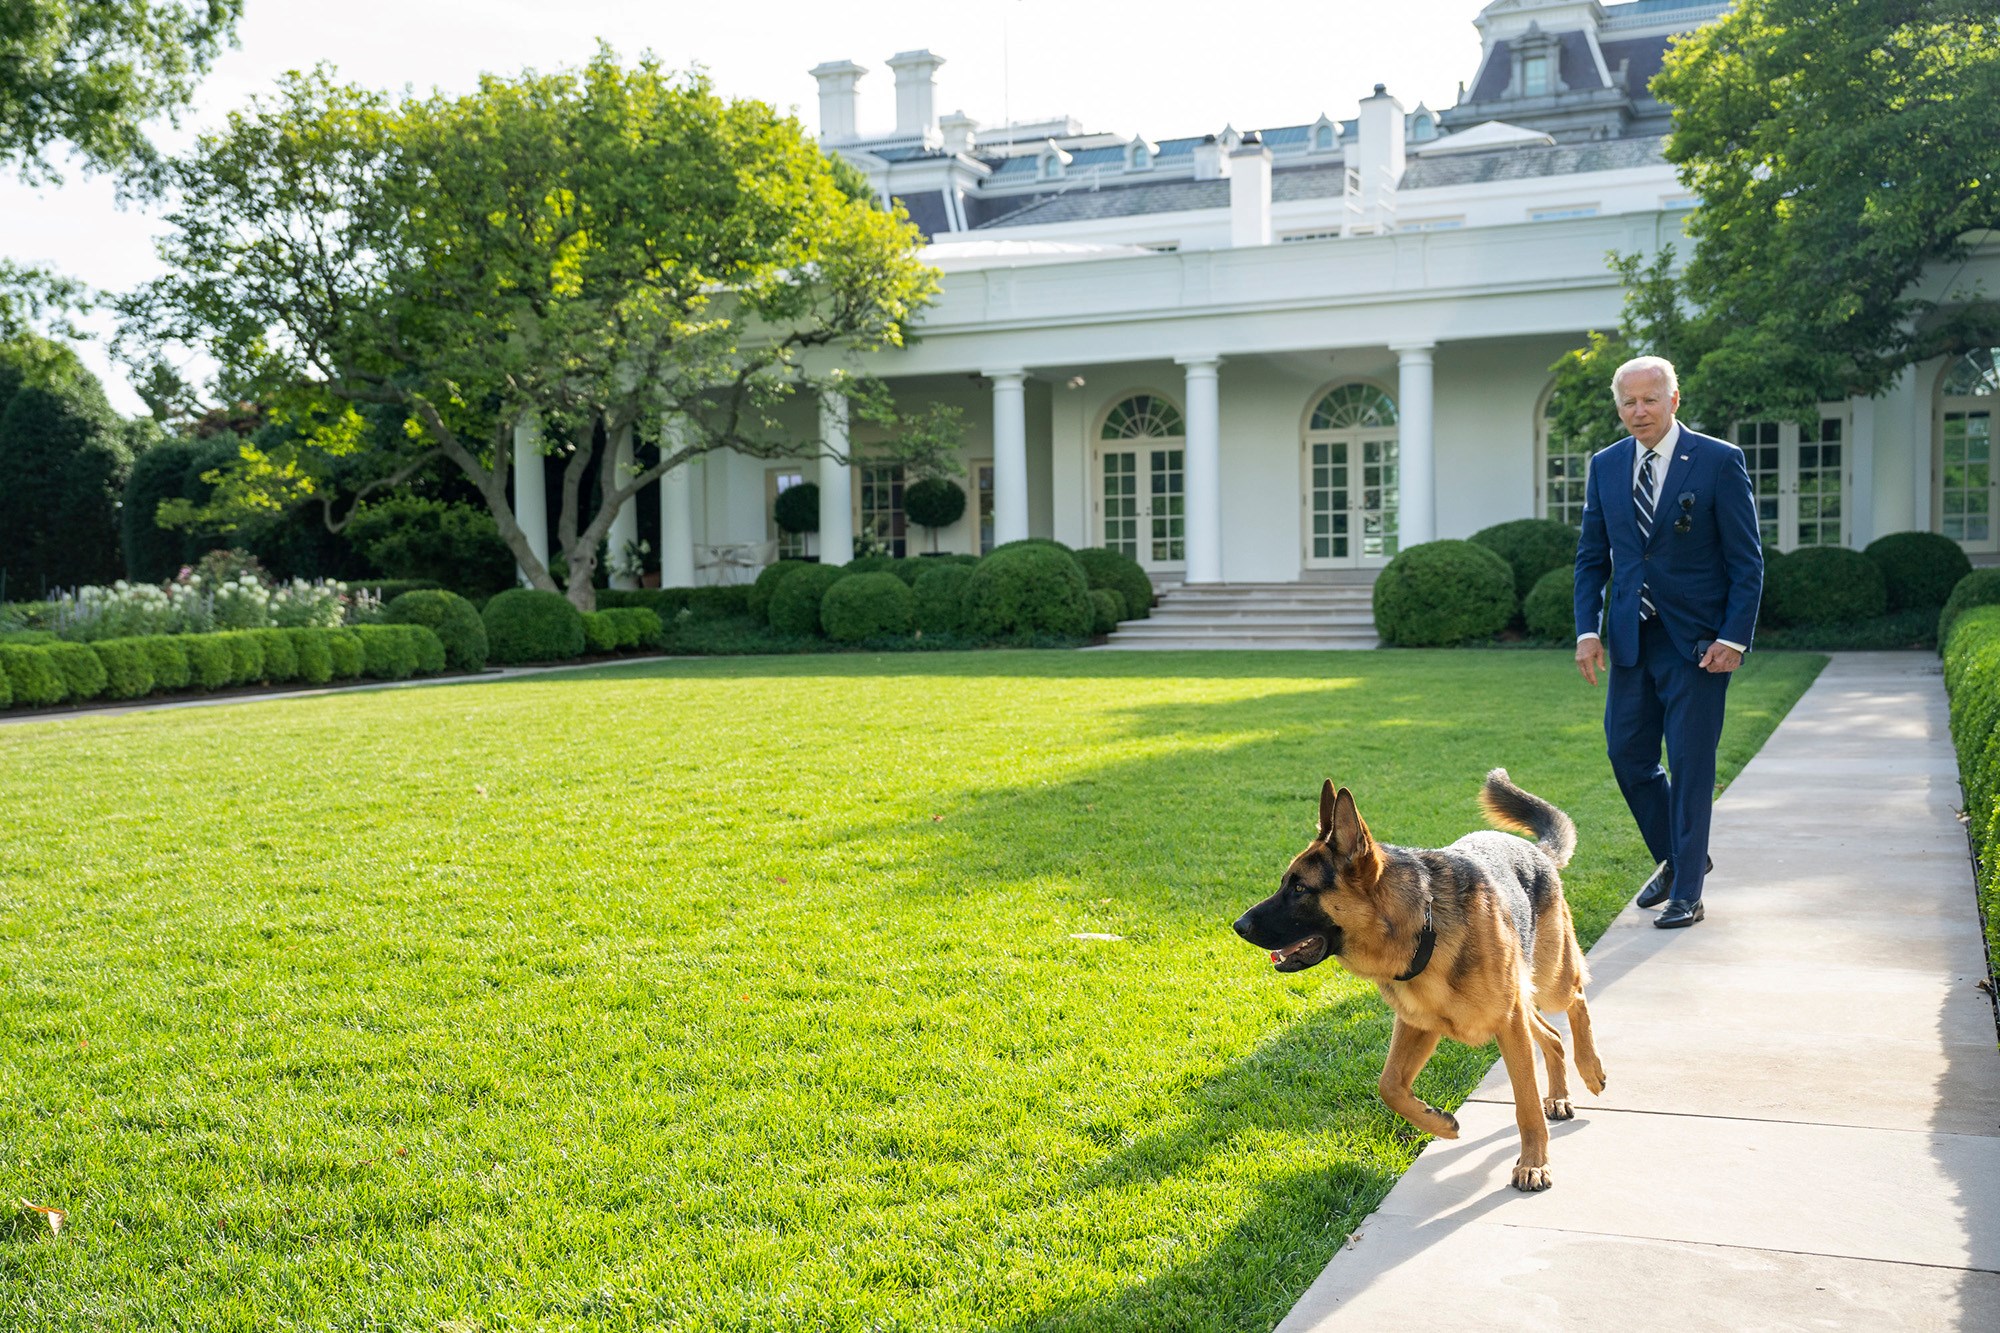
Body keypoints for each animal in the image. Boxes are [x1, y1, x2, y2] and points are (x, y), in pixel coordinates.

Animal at [1232, 764, 1608, 1184]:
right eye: (1286, 883)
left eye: (1299, 889)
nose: (1238, 926)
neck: (1420, 929)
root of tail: (1535, 852)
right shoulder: (1419, 1025)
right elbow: (1389, 1086)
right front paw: (1439, 1123)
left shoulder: (1508, 1025)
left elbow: (1524, 1104)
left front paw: (1533, 1164)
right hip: (1523, 1003)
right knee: (1553, 1036)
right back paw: (1558, 1096)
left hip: (1548, 980)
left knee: (1576, 999)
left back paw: (1590, 1069)